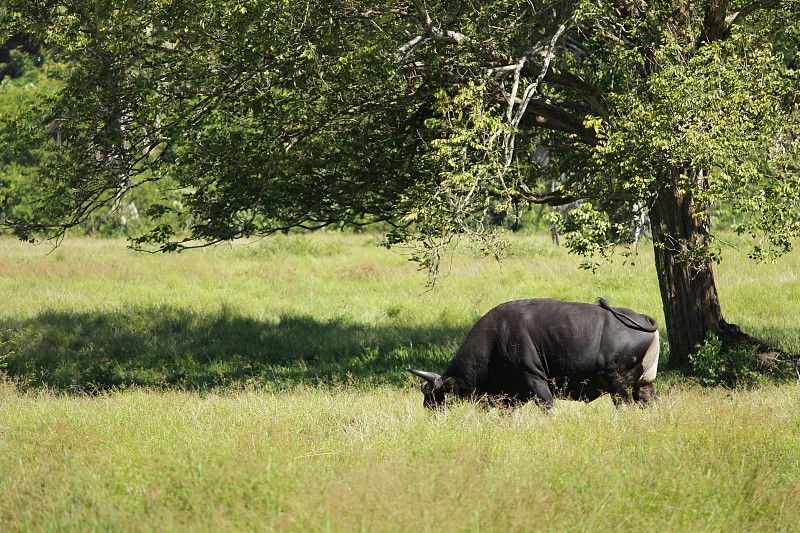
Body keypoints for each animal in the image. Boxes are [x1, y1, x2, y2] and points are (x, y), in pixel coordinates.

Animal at [410, 298, 660, 410]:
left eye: (435, 399)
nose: (430, 414)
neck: (494, 342)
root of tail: (644, 319)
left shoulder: (537, 384)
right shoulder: (509, 399)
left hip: (619, 387)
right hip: (643, 386)